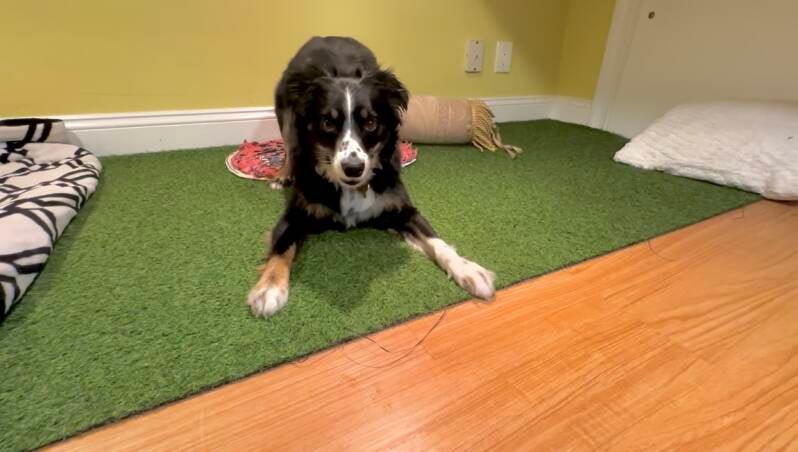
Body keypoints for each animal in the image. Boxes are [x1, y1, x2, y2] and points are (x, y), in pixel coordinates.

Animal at [247, 36, 496, 318]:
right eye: (327, 123)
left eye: (370, 123)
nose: (353, 168)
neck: (349, 188)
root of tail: (326, 37)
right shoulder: (296, 215)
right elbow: (282, 246)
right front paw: (268, 288)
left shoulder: (402, 209)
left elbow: (437, 241)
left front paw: (467, 269)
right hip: (286, 114)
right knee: (289, 146)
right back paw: (282, 174)